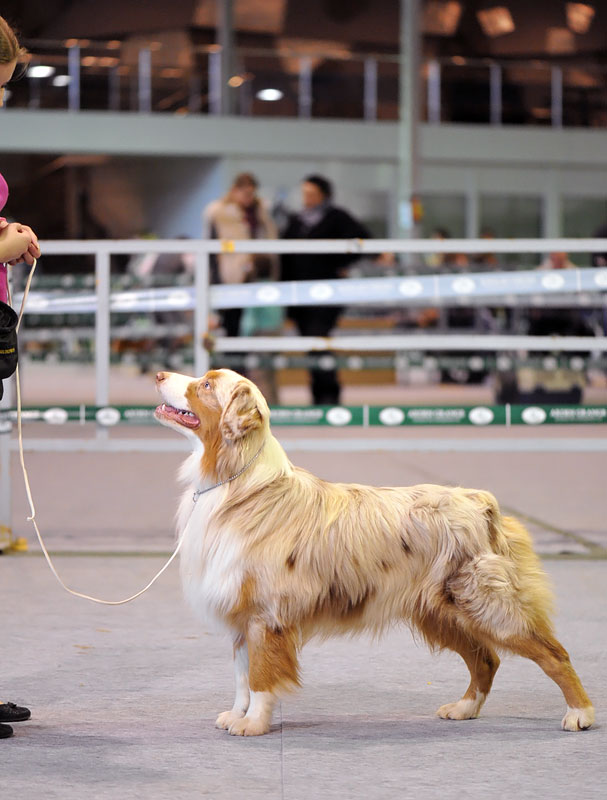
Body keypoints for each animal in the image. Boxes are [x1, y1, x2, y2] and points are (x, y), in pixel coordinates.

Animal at [154, 368, 596, 736]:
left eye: (205, 385)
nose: (159, 374)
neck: (237, 486)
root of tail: (481, 501)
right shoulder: (241, 616)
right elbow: (241, 678)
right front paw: (238, 714)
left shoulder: (266, 615)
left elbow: (261, 678)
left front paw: (254, 724)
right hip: (441, 612)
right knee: (486, 659)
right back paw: (464, 708)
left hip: (489, 604)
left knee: (553, 654)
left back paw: (580, 713)